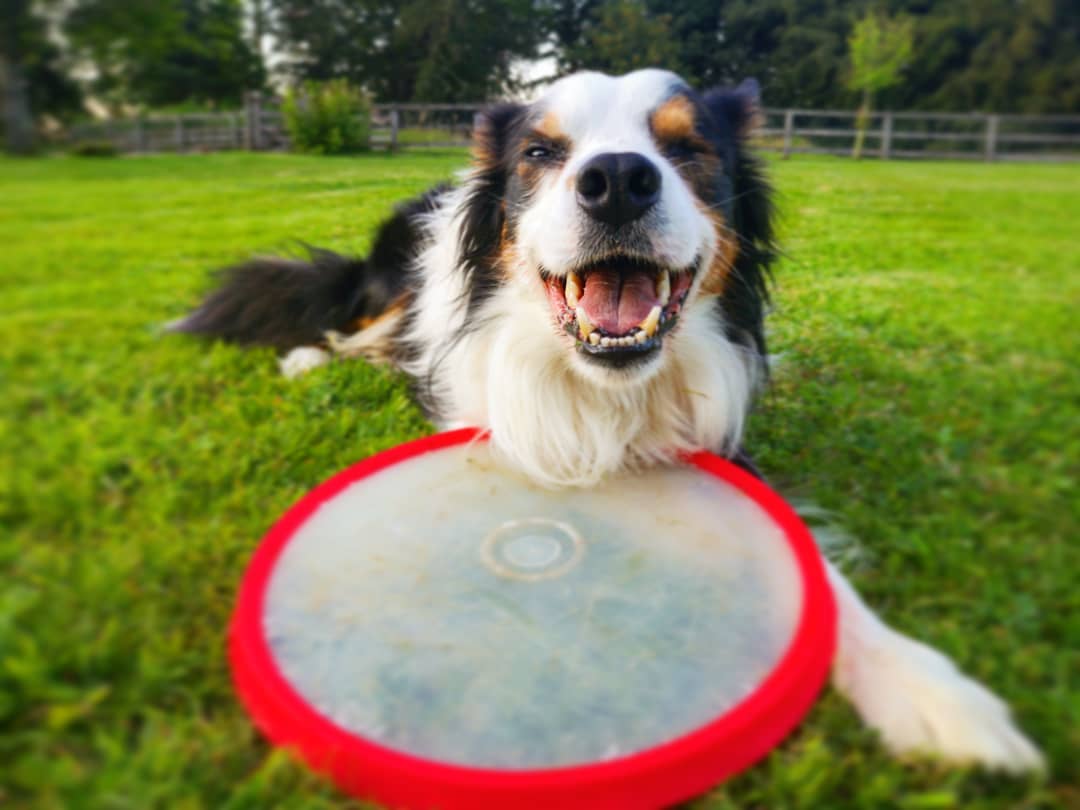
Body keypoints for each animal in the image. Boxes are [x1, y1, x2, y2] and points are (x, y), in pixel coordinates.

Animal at [172, 68, 1041, 773]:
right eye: (540, 152)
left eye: (688, 147)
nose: (618, 179)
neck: (604, 387)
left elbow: (827, 580)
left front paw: (931, 692)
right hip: (391, 280)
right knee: (350, 327)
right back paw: (308, 360)